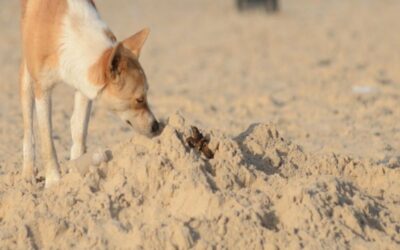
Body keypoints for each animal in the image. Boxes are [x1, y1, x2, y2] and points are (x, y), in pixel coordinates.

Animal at [19, 0, 159, 188]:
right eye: (139, 99)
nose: (156, 126)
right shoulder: (43, 90)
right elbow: (47, 139)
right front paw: (54, 181)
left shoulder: (83, 89)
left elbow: (79, 132)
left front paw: (77, 173)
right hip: (27, 79)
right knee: (28, 128)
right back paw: (28, 173)